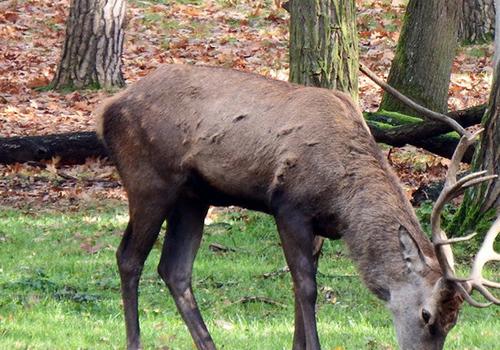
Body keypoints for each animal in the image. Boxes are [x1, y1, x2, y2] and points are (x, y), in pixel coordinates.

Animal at [94, 63, 500, 350]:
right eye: (426, 314)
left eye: (453, 322)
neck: (343, 204)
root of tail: (106, 110)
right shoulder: (289, 207)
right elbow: (306, 286)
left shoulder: (319, 226)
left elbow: (296, 287)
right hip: (150, 180)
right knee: (129, 257)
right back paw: (135, 342)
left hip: (195, 196)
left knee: (175, 269)